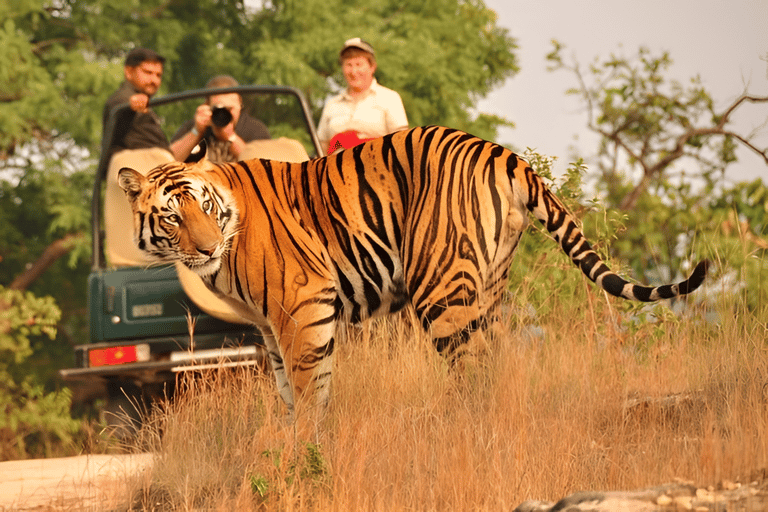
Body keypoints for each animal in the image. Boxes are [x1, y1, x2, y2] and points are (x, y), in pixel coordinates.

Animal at [117, 125, 708, 413]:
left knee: (474, 371)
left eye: (203, 206)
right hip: (489, 287)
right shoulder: (270, 326)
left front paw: (307, 454)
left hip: (441, 290)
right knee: (498, 362)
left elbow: (309, 392)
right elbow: (290, 391)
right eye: (172, 216)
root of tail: (505, 153)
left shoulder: (303, 307)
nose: (206, 248)